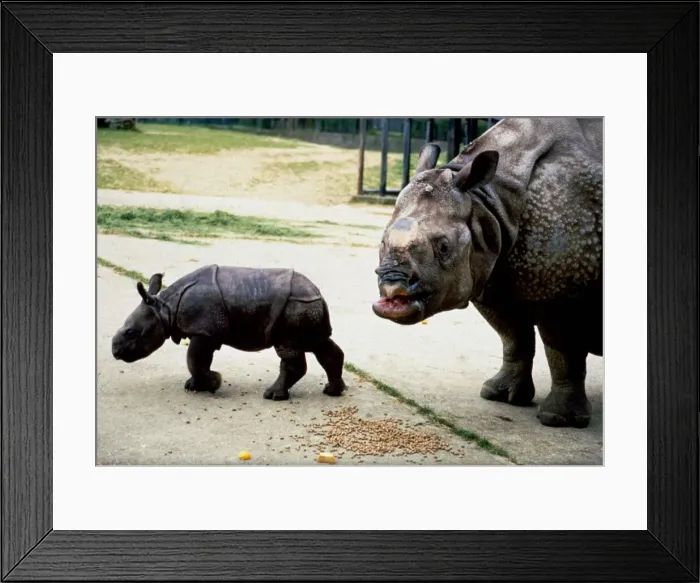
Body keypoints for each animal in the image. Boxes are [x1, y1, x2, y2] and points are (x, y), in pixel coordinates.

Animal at [112, 265, 346, 401]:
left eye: (130, 332)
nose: (115, 350)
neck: (165, 308)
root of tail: (317, 293)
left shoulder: (204, 330)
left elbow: (194, 360)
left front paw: (213, 384)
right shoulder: (206, 332)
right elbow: (199, 360)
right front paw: (194, 387)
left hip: (294, 307)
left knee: (289, 347)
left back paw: (272, 396)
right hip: (305, 307)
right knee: (319, 343)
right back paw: (332, 391)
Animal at [373, 117, 602, 428]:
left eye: (444, 247)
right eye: (381, 241)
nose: (392, 289)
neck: (488, 202)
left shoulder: (560, 289)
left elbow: (561, 346)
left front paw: (559, 420)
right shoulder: (492, 274)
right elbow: (512, 335)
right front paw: (499, 396)